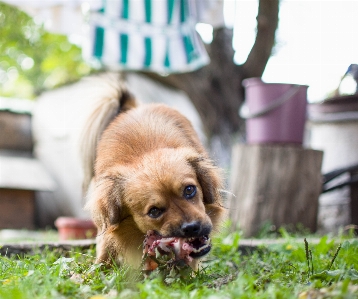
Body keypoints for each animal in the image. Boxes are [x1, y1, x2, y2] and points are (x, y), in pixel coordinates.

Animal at [82, 80, 225, 270]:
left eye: (189, 190)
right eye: (154, 211)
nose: (192, 227)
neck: (146, 154)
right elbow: (107, 243)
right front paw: (99, 269)